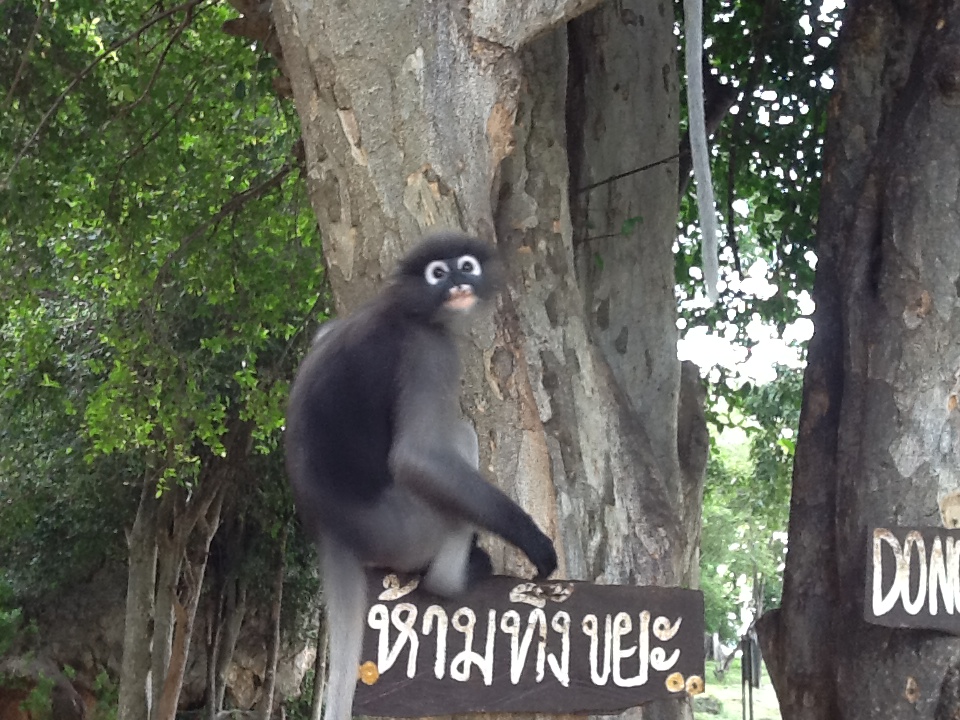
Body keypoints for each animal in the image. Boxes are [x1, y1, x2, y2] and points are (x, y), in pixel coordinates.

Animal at [285, 232, 558, 720]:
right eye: (438, 273)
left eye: (466, 266)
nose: (457, 285)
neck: (402, 305)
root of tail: (331, 530)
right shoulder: (429, 351)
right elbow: (418, 458)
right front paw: (535, 543)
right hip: (409, 530)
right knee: (458, 437)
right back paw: (455, 576)